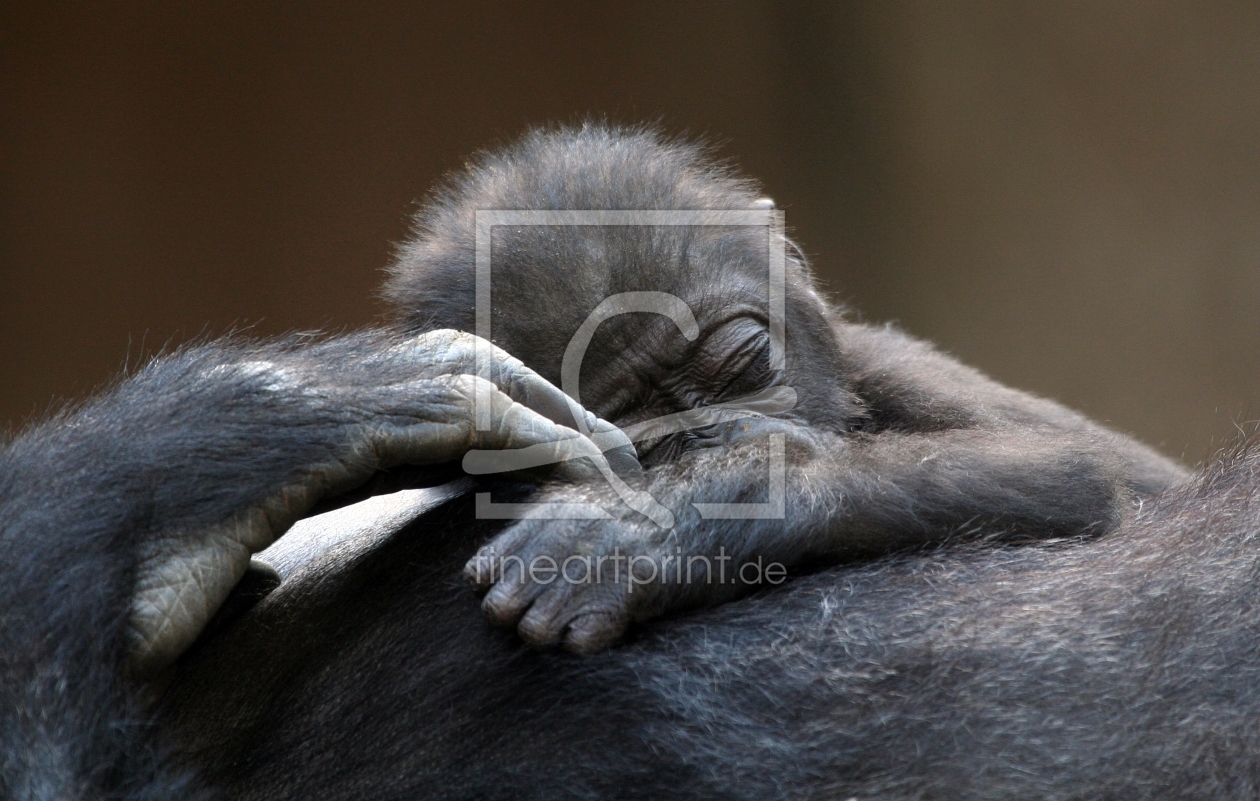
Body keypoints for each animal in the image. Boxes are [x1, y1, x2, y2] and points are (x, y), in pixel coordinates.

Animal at [385, 123, 1189, 649]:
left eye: (740, 364)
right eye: (642, 432)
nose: (719, 435)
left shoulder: (897, 365)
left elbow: (1068, 469)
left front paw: (663, 522)